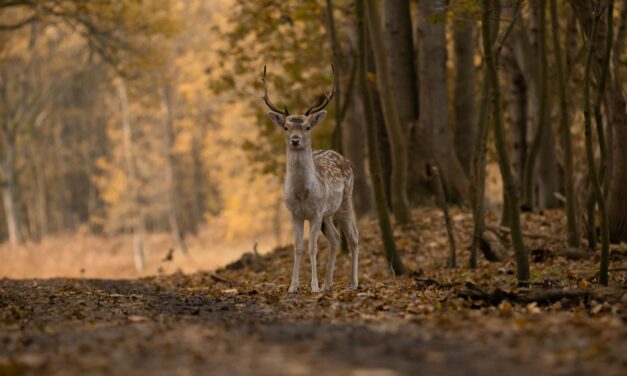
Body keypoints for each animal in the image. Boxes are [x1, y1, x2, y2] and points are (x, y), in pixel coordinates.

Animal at [262, 67, 360, 294]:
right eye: (286, 127)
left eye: (307, 127)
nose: (295, 140)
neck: (301, 193)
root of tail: (346, 160)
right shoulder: (294, 213)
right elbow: (298, 247)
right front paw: (293, 286)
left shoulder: (315, 213)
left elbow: (312, 247)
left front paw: (313, 286)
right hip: (328, 214)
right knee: (336, 238)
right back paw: (328, 284)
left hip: (345, 201)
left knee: (353, 236)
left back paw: (353, 283)